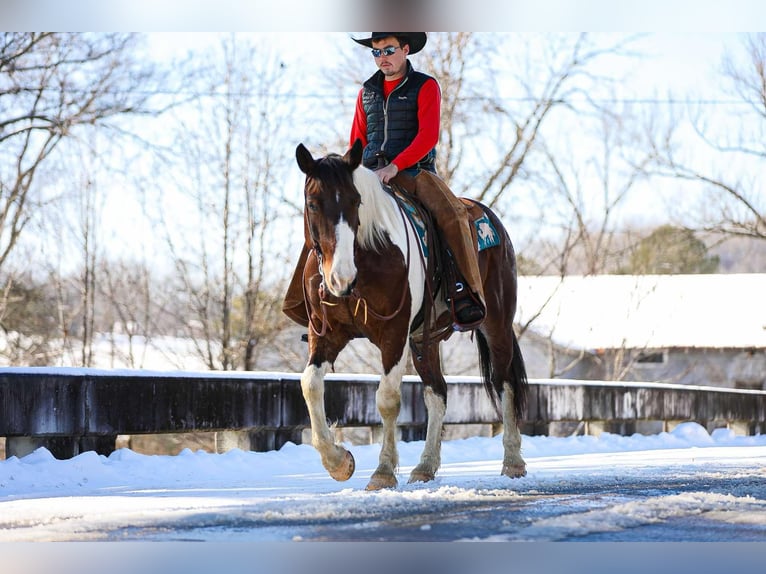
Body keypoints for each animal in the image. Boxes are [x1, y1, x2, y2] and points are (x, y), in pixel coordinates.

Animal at [295, 139, 528, 490]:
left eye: (356, 201)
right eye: (313, 204)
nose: (341, 278)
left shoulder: (394, 332)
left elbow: (388, 399)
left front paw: (383, 472)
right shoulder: (326, 333)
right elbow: (310, 384)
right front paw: (339, 462)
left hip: (496, 324)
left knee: (505, 384)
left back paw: (513, 461)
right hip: (424, 341)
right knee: (437, 394)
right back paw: (425, 466)